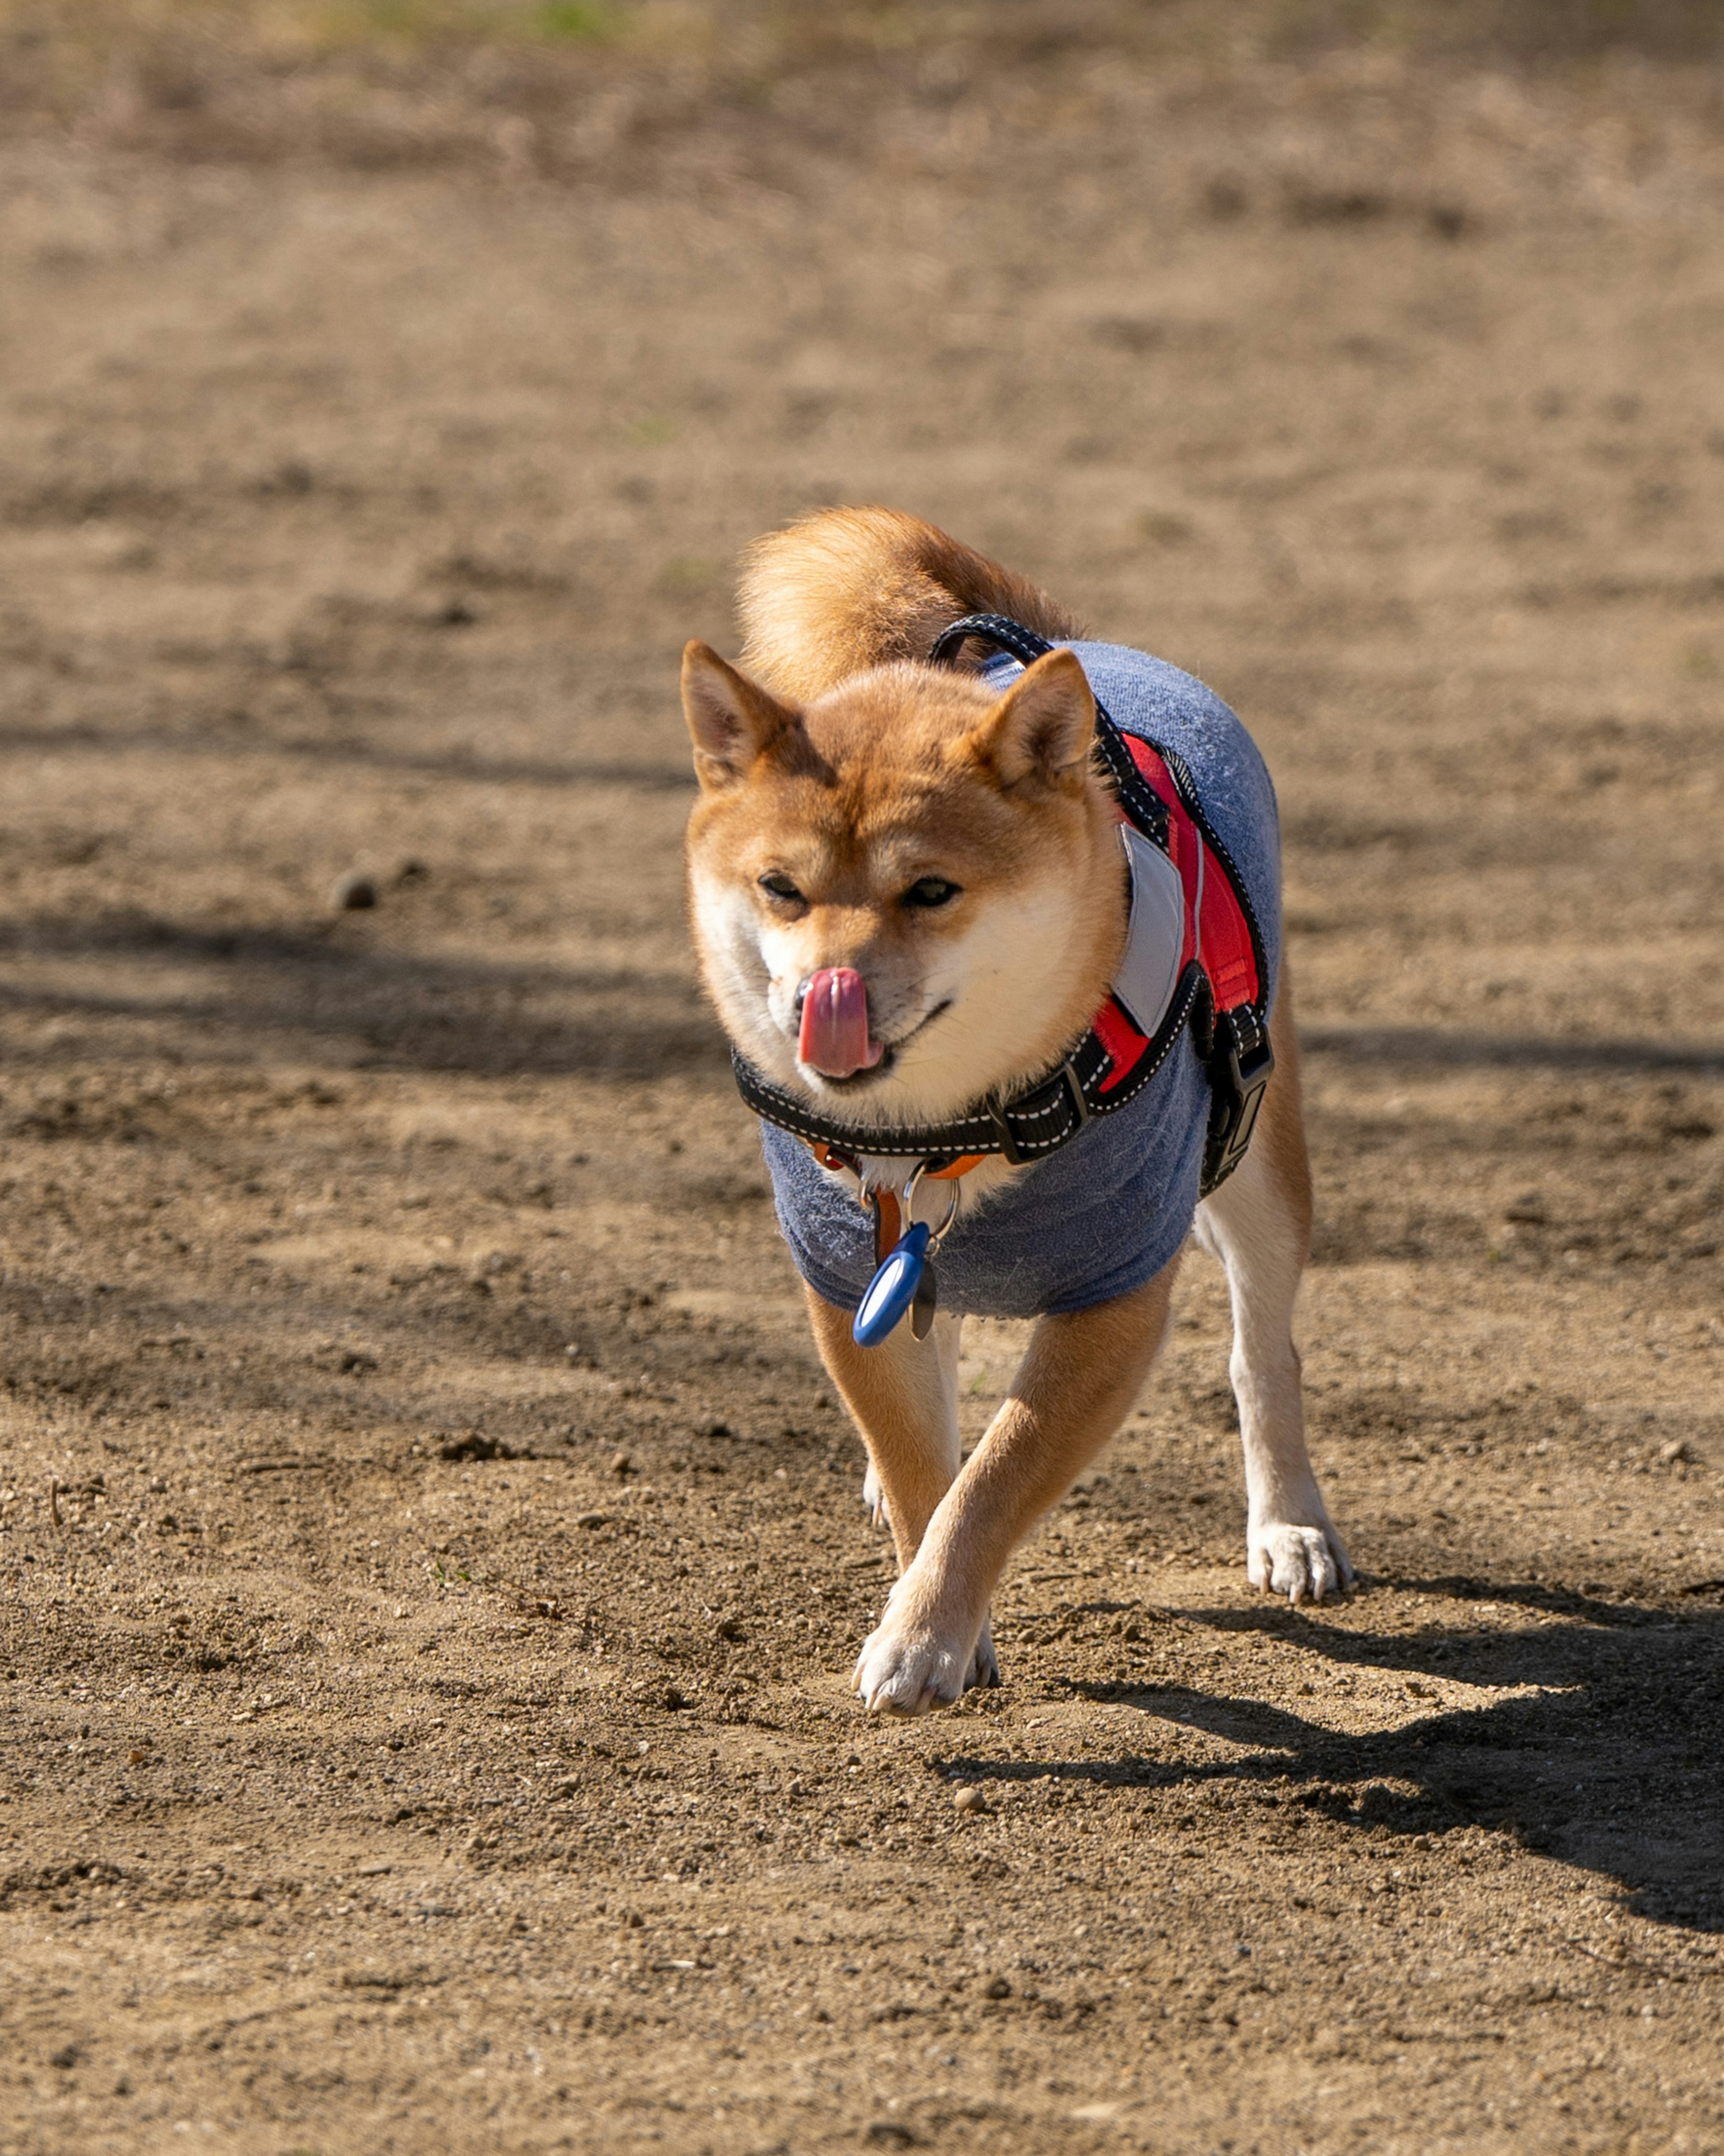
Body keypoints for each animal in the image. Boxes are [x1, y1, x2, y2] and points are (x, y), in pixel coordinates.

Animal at [681, 509, 1353, 1716]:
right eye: (780, 889)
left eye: (932, 891)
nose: (821, 1001)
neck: (945, 1134)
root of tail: (1058, 643)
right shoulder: (849, 1276)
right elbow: (924, 1470)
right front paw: (934, 1607)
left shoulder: (1114, 1296)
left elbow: (995, 1477)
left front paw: (924, 1635)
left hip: (1259, 1160)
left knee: (1261, 1351)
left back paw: (1291, 1521)